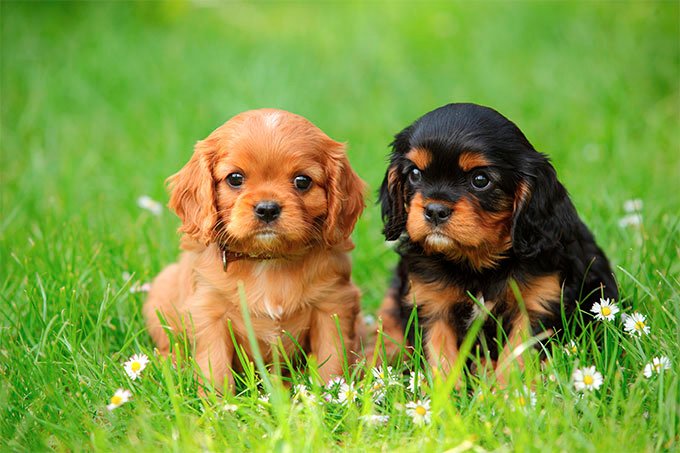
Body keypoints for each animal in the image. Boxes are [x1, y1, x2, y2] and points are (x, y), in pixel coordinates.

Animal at [144, 107, 366, 390]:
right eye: (235, 178)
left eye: (302, 181)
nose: (267, 209)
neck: (267, 260)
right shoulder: (209, 312)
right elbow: (215, 367)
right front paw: (219, 401)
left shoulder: (332, 304)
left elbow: (332, 357)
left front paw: (332, 393)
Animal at [380, 101, 620, 382]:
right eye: (415, 174)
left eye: (480, 180)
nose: (435, 210)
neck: (476, 263)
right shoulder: (430, 304)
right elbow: (439, 356)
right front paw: (447, 392)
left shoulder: (538, 303)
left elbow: (517, 356)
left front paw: (508, 392)